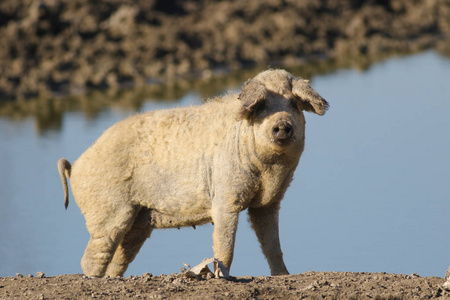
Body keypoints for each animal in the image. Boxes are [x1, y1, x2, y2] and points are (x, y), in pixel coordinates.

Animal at [58, 69, 328, 278]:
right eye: (262, 107)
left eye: (293, 104)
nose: (282, 125)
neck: (268, 171)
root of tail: (75, 165)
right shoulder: (225, 197)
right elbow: (225, 244)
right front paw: (222, 276)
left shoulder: (268, 203)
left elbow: (273, 244)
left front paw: (283, 275)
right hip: (108, 212)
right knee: (92, 257)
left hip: (137, 221)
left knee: (119, 256)